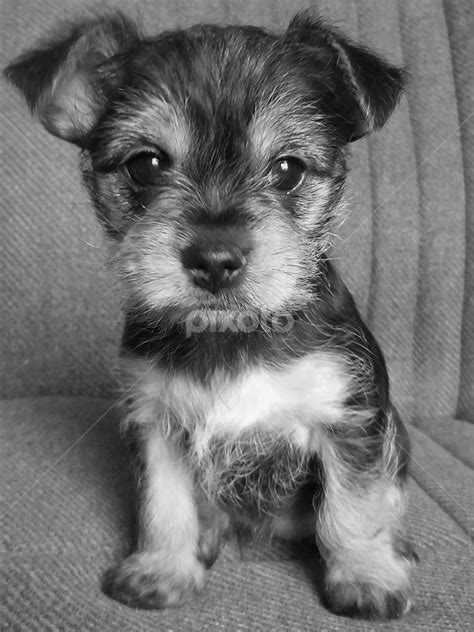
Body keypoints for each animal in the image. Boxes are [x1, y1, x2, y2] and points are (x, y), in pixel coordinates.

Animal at [6, 9, 414, 620]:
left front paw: (365, 575)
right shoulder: (157, 423)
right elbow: (165, 505)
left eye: (288, 169)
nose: (215, 259)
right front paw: (162, 568)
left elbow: (354, 505)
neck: (230, 335)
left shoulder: (350, 420)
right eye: (146, 165)